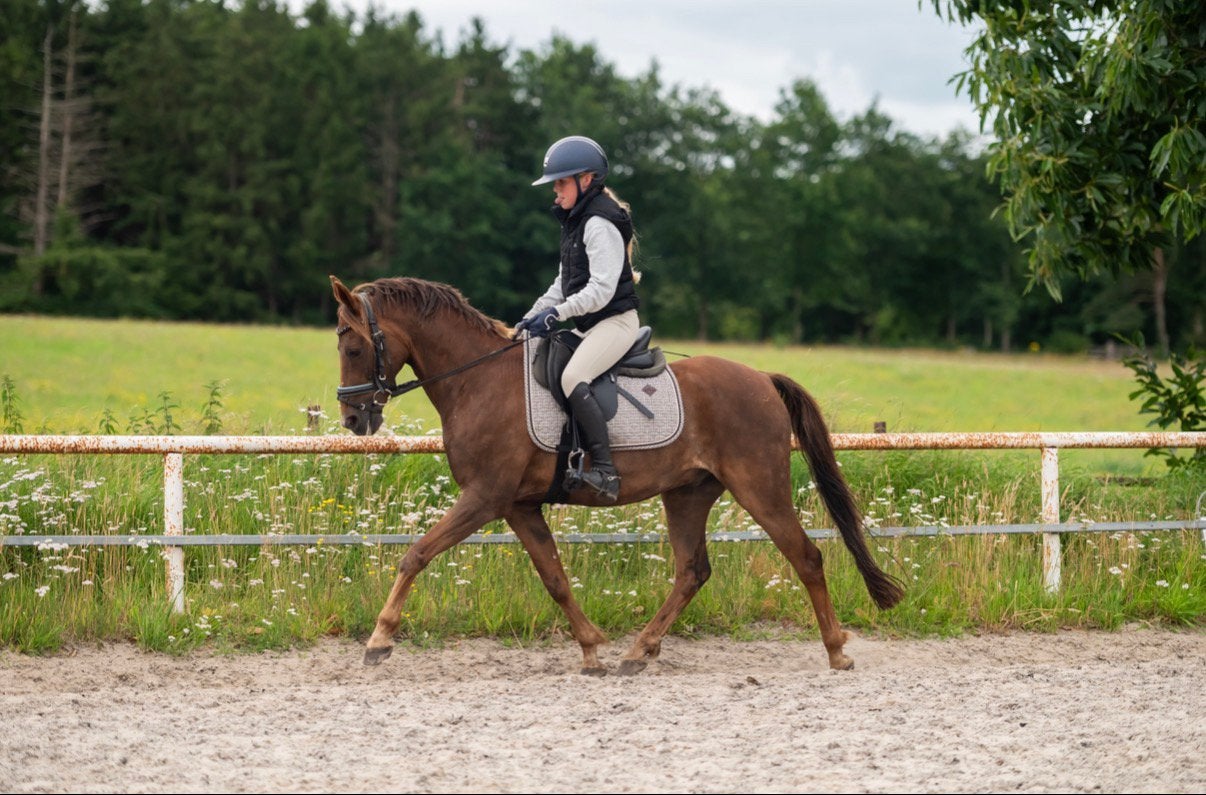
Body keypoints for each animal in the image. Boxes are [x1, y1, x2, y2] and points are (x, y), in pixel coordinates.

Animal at [330, 275, 904, 675]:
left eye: (353, 347)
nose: (354, 421)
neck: (478, 380)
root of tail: (761, 377)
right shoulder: (519, 506)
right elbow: (555, 578)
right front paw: (592, 651)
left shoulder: (484, 497)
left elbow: (416, 554)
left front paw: (378, 641)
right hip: (687, 494)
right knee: (692, 571)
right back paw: (638, 651)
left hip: (759, 487)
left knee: (805, 557)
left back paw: (836, 652)